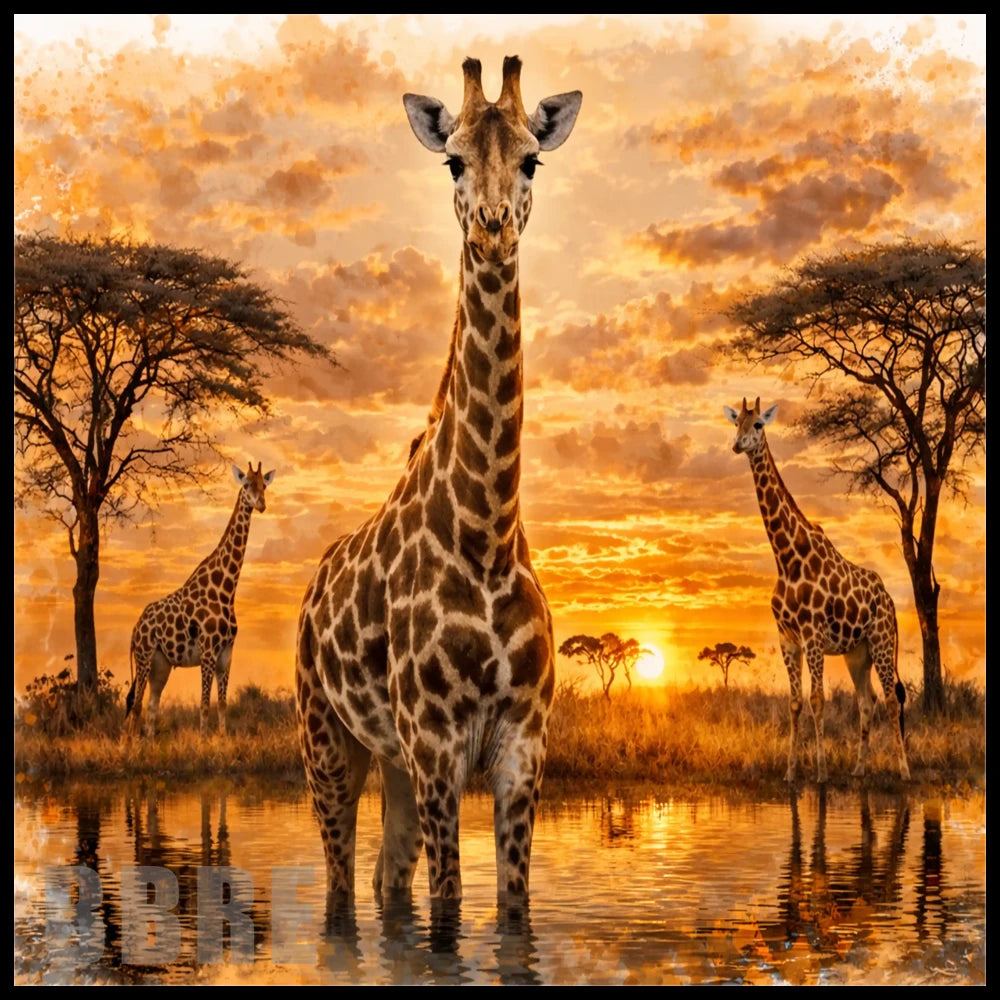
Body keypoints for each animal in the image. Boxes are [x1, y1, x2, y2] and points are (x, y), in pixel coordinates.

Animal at [124, 462, 274, 738]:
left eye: (264, 485)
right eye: (246, 484)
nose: (260, 504)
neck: (226, 589)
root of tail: (135, 628)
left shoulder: (226, 653)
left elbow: (222, 704)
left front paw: (222, 740)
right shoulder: (207, 652)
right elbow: (204, 704)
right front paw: (204, 741)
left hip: (160, 664)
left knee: (151, 705)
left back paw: (147, 743)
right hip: (143, 657)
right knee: (136, 704)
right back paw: (129, 745)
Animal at [296, 56, 582, 902]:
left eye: (532, 160)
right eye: (452, 161)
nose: (491, 227)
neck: (487, 532)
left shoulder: (522, 748)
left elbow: (511, 903)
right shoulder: (436, 747)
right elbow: (449, 901)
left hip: (388, 759)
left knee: (385, 877)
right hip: (328, 738)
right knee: (340, 879)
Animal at [724, 398, 910, 783]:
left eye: (758, 424)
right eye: (736, 423)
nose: (738, 445)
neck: (786, 558)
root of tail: (889, 601)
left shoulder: (813, 636)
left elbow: (817, 700)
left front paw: (821, 773)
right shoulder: (788, 639)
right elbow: (795, 702)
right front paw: (791, 771)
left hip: (883, 642)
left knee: (890, 697)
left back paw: (904, 771)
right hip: (858, 653)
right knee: (866, 701)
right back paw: (858, 769)